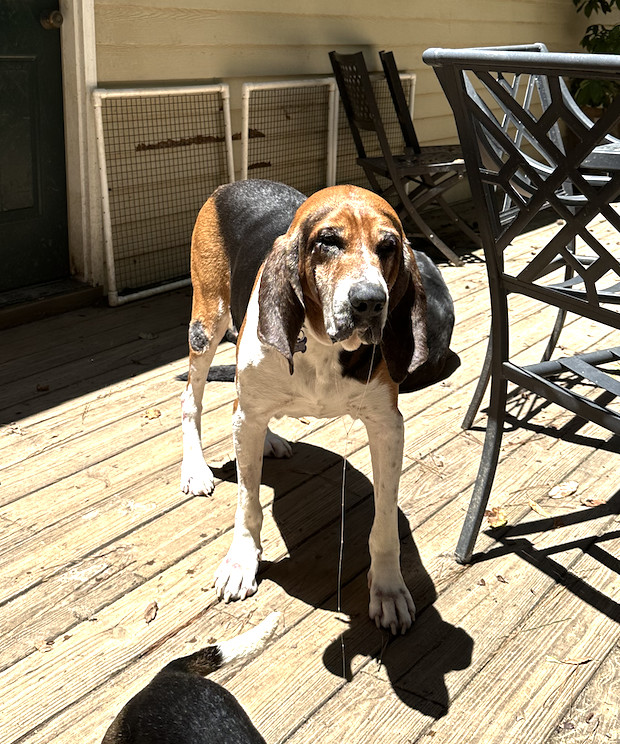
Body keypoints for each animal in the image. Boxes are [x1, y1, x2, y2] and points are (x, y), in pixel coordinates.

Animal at [180, 179, 456, 632]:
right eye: (328, 241)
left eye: (389, 246)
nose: (369, 302)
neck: (324, 346)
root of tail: (234, 184)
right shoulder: (247, 411)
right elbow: (247, 503)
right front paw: (241, 561)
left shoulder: (387, 427)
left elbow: (384, 520)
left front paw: (388, 588)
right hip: (207, 323)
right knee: (192, 398)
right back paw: (196, 469)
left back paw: (268, 440)